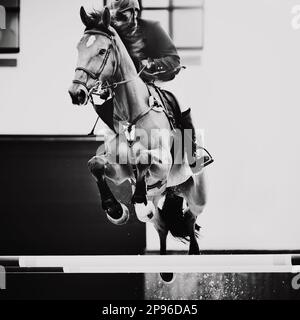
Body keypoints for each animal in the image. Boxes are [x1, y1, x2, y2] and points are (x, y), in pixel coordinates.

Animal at [69, 6, 207, 282]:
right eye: (79, 48)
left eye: (102, 50)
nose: (75, 93)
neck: (132, 114)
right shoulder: (118, 169)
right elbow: (95, 164)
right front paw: (115, 209)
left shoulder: (163, 162)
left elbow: (144, 158)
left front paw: (137, 196)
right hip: (163, 199)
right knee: (161, 224)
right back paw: (165, 271)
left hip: (194, 189)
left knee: (190, 216)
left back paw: (193, 254)